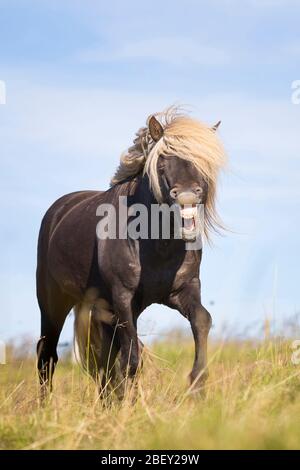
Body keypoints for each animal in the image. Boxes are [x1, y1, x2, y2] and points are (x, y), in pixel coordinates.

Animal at [36, 106, 225, 396]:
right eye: (161, 164)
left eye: (203, 162)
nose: (187, 197)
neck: (156, 244)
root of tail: (58, 209)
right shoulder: (123, 297)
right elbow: (132, 359)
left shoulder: (183, 290)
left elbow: (202, 319)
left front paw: (197, 385)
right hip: (53, 303)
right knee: (48, 357)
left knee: (104, 360)